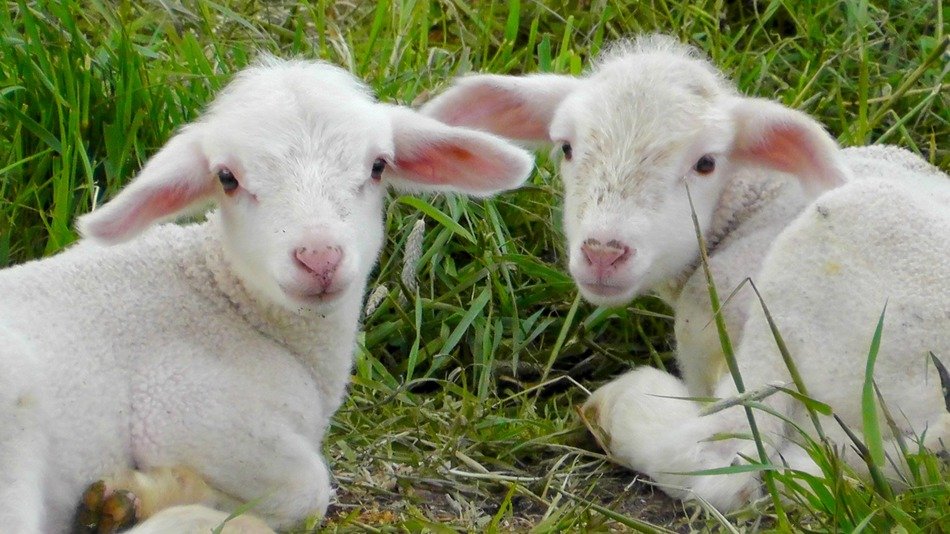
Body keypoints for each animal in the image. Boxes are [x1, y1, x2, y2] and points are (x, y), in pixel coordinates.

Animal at [0, 56, 534, 533]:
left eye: (378, 166)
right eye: (227, 178)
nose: (319, 257)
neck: (224, 294)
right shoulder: (183, 406)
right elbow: (308, 489)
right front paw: (152, 497)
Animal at [421, 34, 950, 511]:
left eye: (706, 163)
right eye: (566, 148)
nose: (603, 252)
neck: (752, 203)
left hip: (807, 293)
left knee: (726, 456)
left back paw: (621, 403)